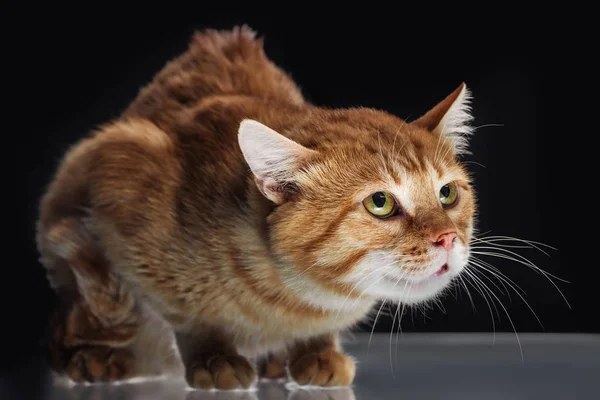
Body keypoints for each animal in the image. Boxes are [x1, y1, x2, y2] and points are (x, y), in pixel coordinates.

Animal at [36, 25, 478, 390]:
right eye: (381, 202)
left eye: (446, 194)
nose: (447, 237)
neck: (293, 304)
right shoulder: (121, 176)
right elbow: (186, 315)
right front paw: (214, 357)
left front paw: (315, 351)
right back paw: (96, 357)